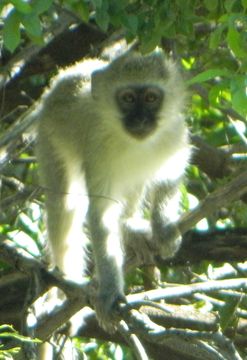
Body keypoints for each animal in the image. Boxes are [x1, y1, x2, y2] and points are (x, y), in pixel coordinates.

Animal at [35, 50, 191, 332]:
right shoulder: (98, 151)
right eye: (127, 98)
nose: (140, 120)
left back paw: (130, 226)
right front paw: (109, 292)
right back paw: (68, 289)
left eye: (151, 98)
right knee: (65, 206)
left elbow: (170, 175)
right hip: (49, 137)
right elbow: (101, 213)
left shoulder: (175, 134)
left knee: (135, 183)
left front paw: (163, 227)